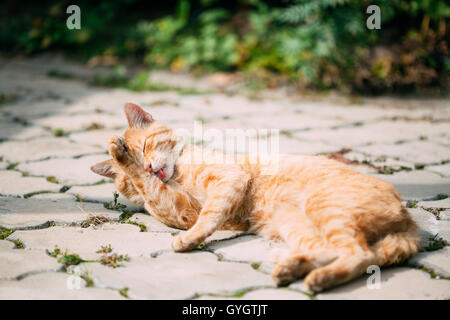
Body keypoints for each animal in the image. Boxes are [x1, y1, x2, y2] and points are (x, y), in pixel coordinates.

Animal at [90, 103, 418, 292]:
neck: (178, 174)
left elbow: (208, 215)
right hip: (297, 224)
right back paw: (295, 268)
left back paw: (316, 277)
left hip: (324, 209)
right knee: (344, 252)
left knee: (360, 254)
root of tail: (408, 222)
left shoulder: (226, 181)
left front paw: (119, 154)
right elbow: (153, 190)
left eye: (146, 145)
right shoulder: (181, 209)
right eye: (124, 185)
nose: (147, 165)